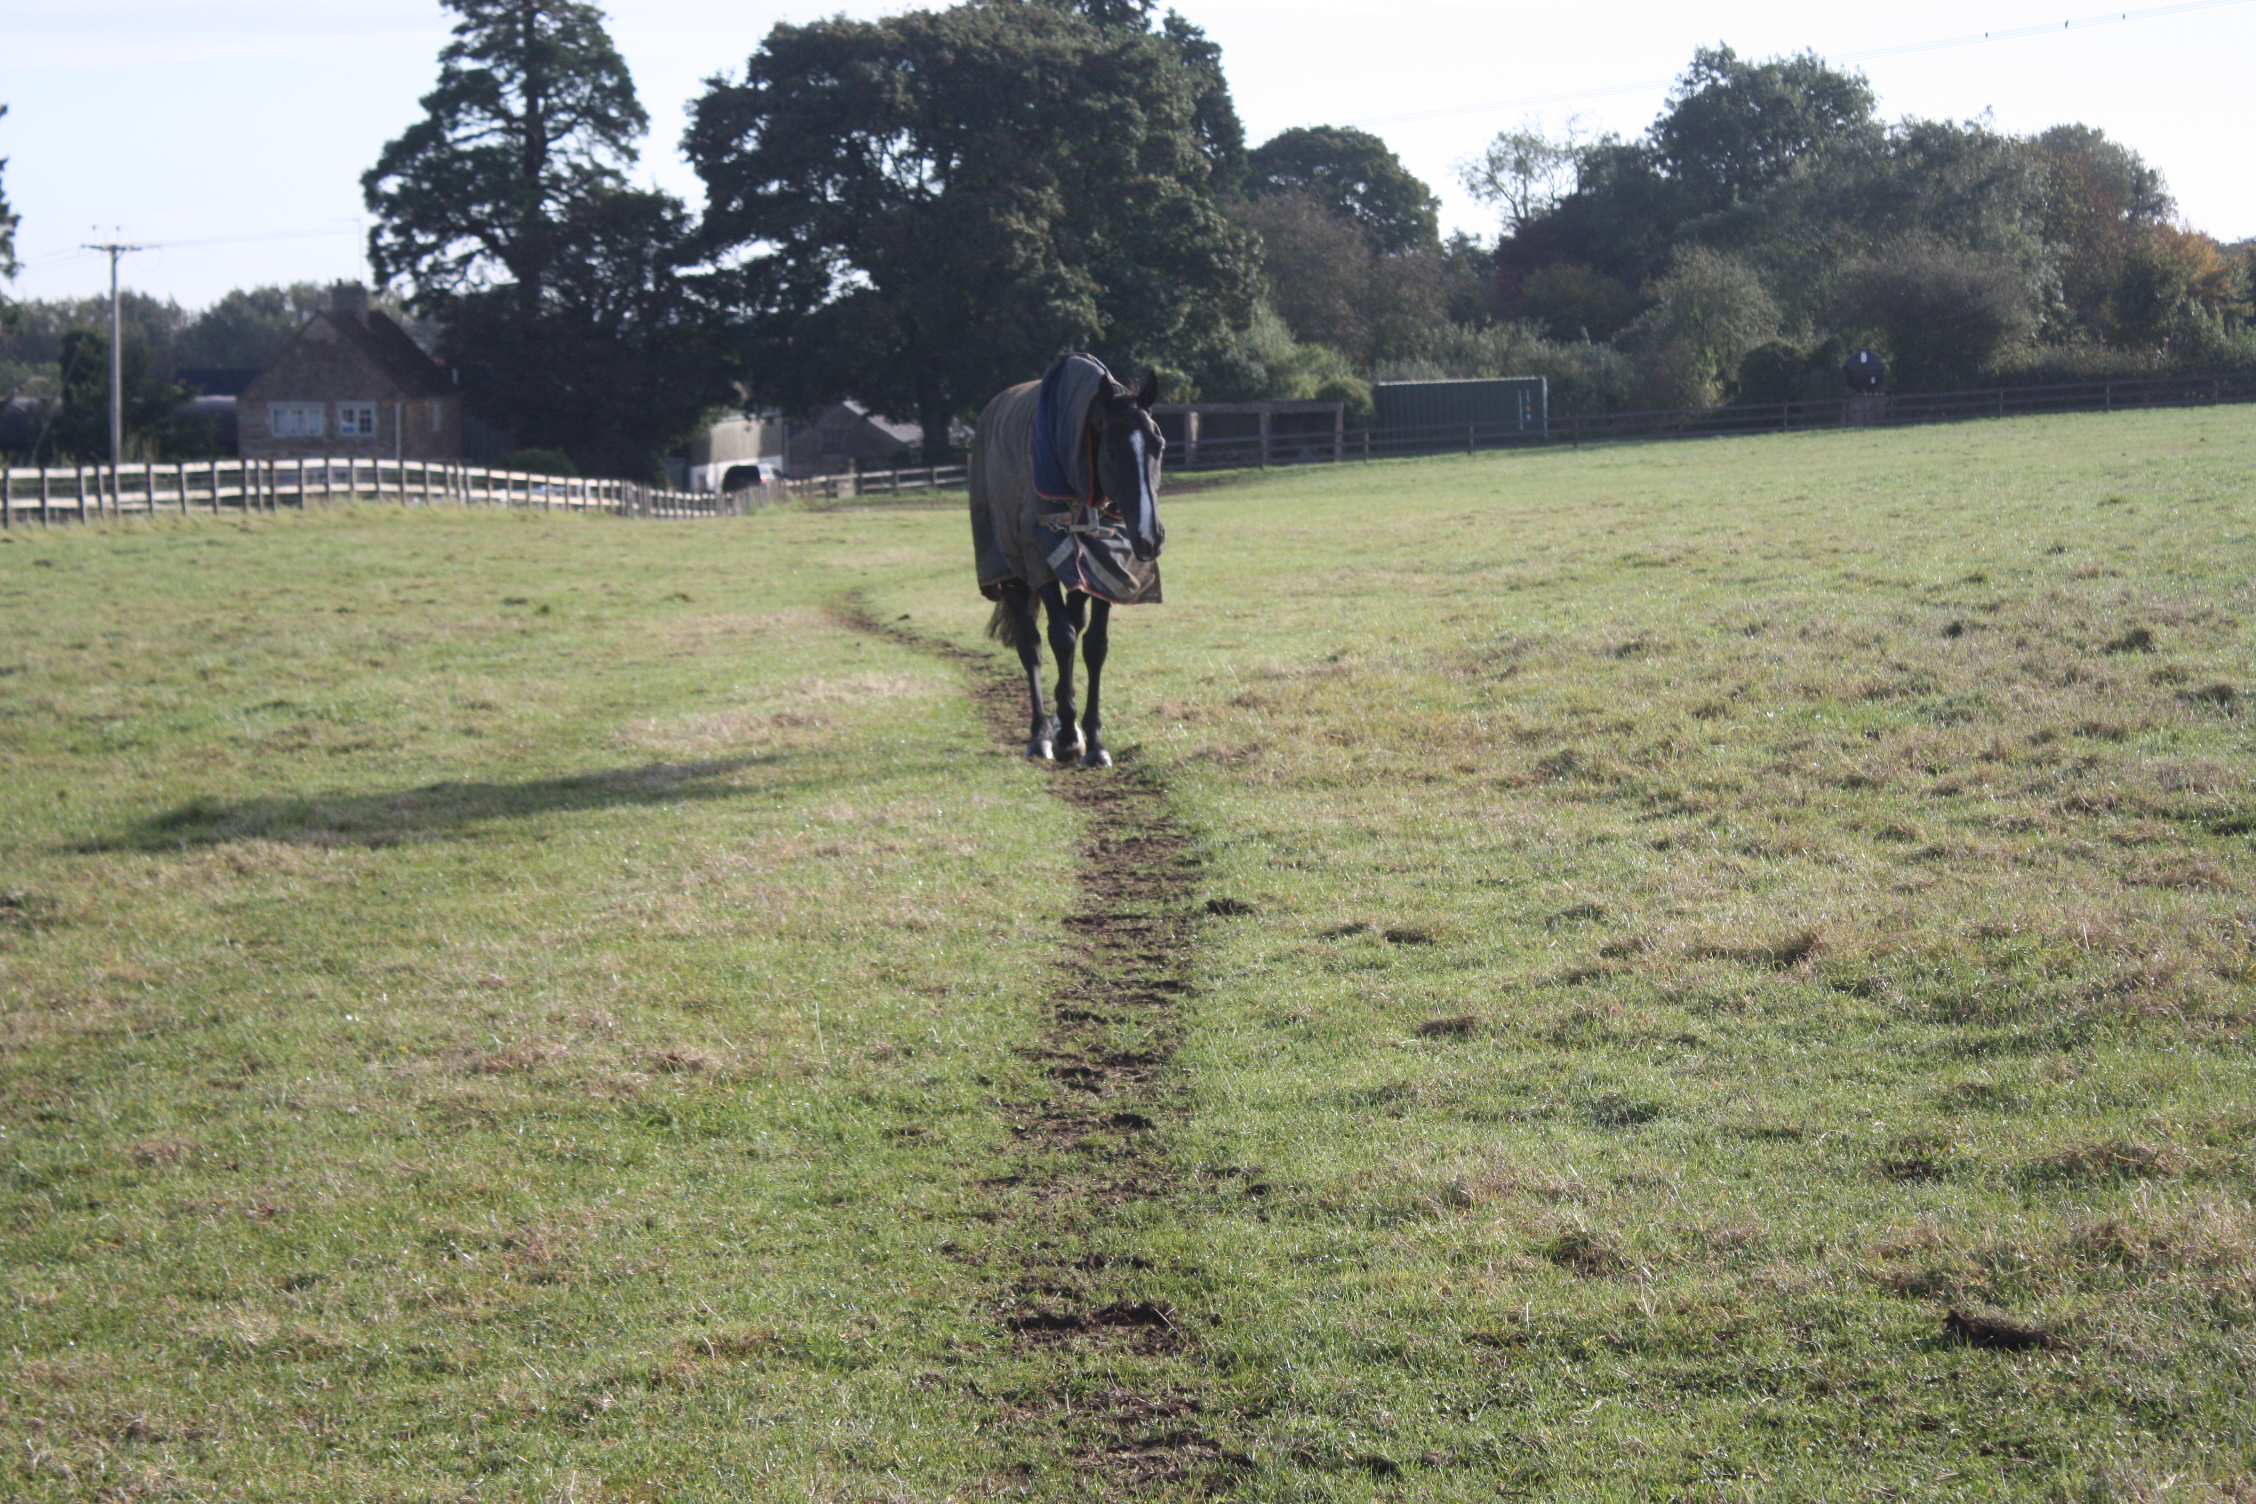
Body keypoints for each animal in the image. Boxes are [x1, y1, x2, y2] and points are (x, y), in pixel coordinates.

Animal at [974, 354, 1173, 766]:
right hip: (1011, 574)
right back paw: (1041, 734)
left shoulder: (1106, 566)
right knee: (1031, 645)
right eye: (1111, 450)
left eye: (1159, 444)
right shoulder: (1041, 561)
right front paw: (1065, 734)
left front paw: (1093, 741)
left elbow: (1094, 645)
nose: (1150, 536)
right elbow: (1061, 637)